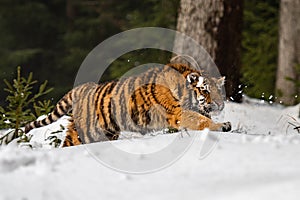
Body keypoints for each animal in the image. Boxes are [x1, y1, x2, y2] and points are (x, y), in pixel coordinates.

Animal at [24, 62, 231, 147]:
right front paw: (221, 126)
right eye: (205, 90)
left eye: (219, 90)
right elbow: (200, 121)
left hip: (106, 133)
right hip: (83, 134)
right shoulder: (177, 112)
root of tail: (83, 88)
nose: (221, 104)